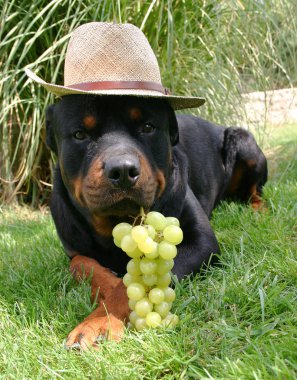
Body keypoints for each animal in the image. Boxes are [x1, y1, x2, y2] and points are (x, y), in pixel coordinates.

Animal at [45, 93, 268, 348]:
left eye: (148, 127)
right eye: (80, 134)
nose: (123, 170)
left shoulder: (202, 243)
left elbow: (132, 286)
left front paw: (99, 322)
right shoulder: (73, 246)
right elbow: (81, 263)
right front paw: (107, 286)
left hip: (243, 143)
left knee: (255, 192)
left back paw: (258, 210)